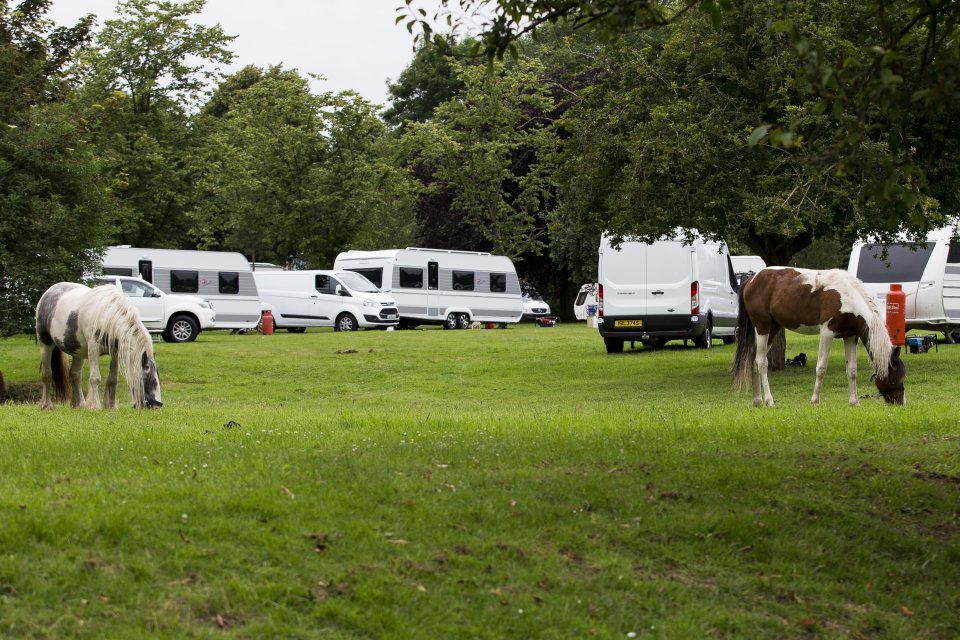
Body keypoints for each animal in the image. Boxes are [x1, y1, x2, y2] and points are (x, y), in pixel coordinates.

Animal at [34, 284, 162, 410]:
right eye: (153, 380)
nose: (158, 406)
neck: (108, 317)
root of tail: (48, 292)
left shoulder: (115, 352)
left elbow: (113, 379)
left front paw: (111, 405)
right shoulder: (93, 349)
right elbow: (95, 378)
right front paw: (94, 405)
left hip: (78, 352)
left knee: (75, 375)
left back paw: (79, 404)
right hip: (45, 345)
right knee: (47, 374)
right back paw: (47, 404)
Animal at [732, 268, 904, 408]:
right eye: (893, 380)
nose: (900, 402)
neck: (847, 296)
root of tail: (751, 279)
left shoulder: (850, 337)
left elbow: (852, 370)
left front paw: (854, 402)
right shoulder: (827, 333)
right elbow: (821, 368)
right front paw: (815, 401)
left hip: (773, 329)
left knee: (754, 360)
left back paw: (757, 400)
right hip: (762, 327)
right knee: (762, 362)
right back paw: (769, 400)